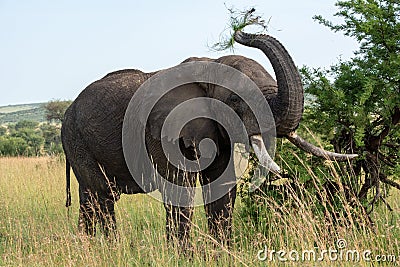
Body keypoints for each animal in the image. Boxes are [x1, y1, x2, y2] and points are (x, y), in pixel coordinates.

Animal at [61, 30, 356, 250]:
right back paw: (110, 249)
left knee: (90, 199)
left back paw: (88, 247)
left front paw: (223, 253)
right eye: (236, 101)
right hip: (75, 138)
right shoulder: (163, 130)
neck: (209, 66)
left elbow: (222, 189)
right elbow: (180, 189)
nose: (241, 31)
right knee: (102, 196)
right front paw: (183, 257)